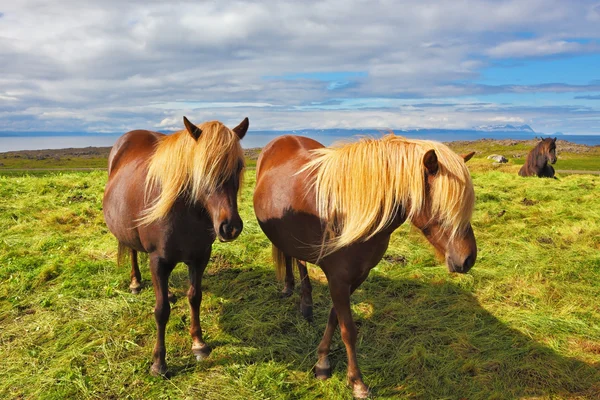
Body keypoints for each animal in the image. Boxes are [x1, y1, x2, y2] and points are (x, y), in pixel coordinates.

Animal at [102, 115, 247, 376]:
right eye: (202, 169)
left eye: (238, 167)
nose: (230, 227)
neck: (185, 212)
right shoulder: (158, 261)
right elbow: (161, 312)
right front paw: (159, 363)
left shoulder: (200, 257)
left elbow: (195, 297)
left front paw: (198, 343)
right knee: (133, 252)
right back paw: (135, 283)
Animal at [253, 134, 478, 396]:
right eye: (441, 206)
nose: (468, 259)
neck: (349, 210)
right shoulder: (338, 279)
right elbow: (348, 330)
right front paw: (356, 382)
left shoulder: (355, 277)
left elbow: (335, 317)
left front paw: (322, 360)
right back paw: (290, 288)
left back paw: (305, 303)